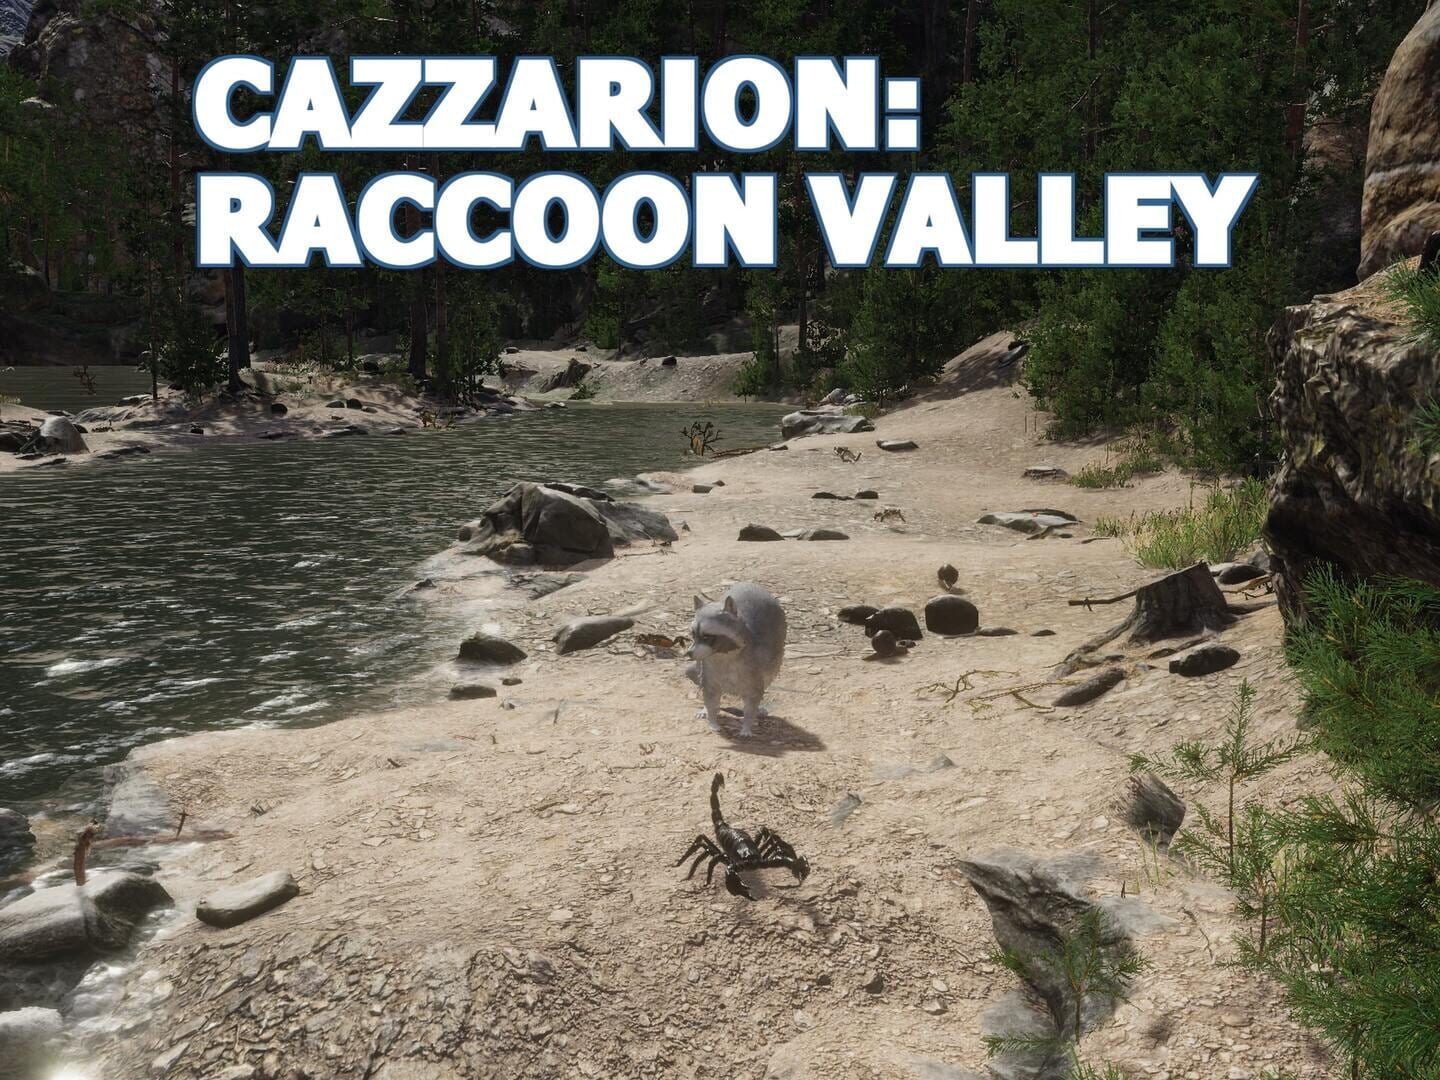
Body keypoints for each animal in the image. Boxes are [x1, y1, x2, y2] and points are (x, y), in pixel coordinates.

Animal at [686, 582, 786, 738]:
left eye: (707, 636)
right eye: (693, 634)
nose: (689, 653)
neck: (722, 654)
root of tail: (749, 583)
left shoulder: (753, 667)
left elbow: (753, 698)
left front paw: (747, 724)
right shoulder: (708, 667)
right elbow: (710, 695)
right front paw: (711, 719)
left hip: (776, 651)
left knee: (768, 677)